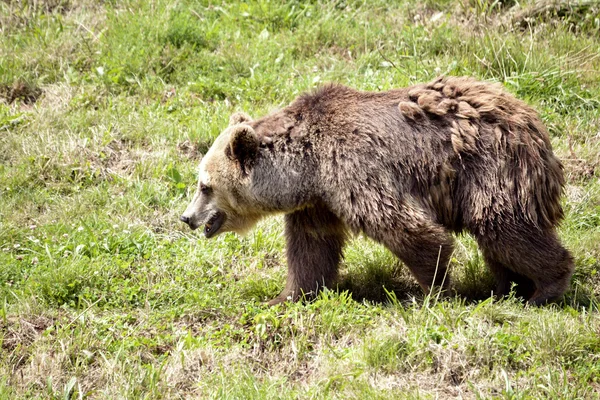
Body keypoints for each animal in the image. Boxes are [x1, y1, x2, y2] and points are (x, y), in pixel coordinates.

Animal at [180, 76, 576, 306]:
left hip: (490, 167)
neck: (307, 167)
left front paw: (432, 292)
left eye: (205, 185)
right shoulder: (319, 202)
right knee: (499, 243)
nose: (186, 217)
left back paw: (545, 288)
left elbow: (407, 228)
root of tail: (531, 119)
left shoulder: (355, 167)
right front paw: (287, 297)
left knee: (503, 227)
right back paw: (509, 288)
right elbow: (310, 249)